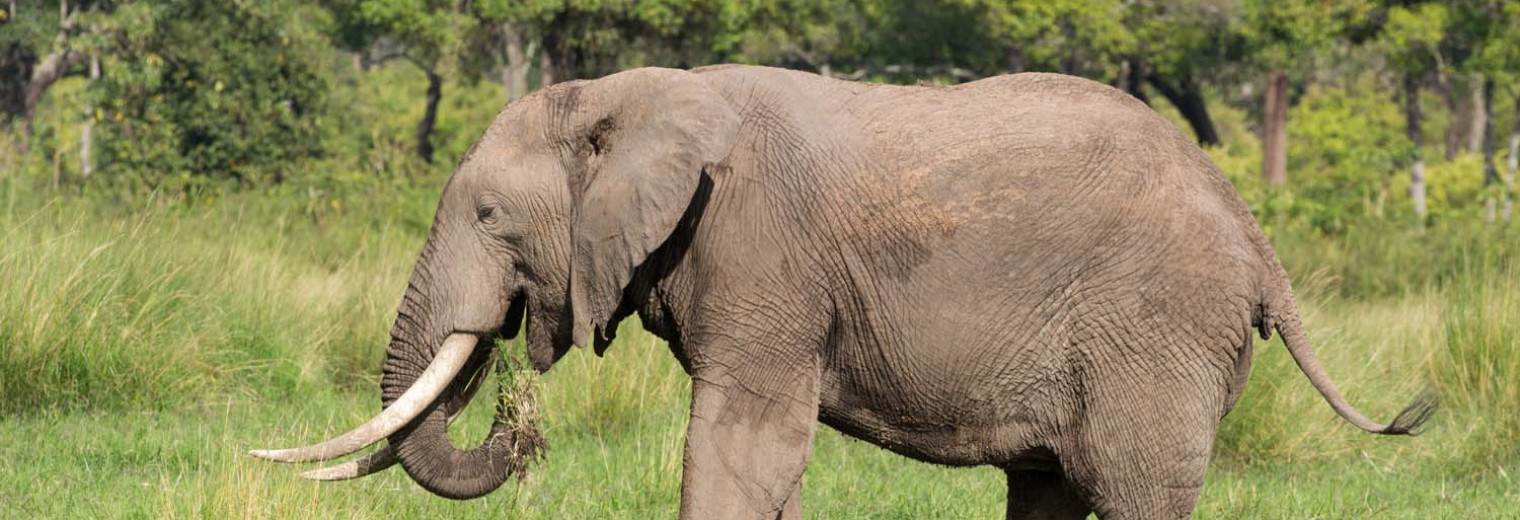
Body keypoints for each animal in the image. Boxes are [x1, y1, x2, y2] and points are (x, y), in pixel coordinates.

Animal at [252, 66, 1434, 520]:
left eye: (491, 218)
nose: (512, 420)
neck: (633, 94)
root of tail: (1255, 235)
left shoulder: (762, 258)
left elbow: (740, 450)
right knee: (1049, 489)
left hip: (1157, 329)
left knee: (1134, 488)